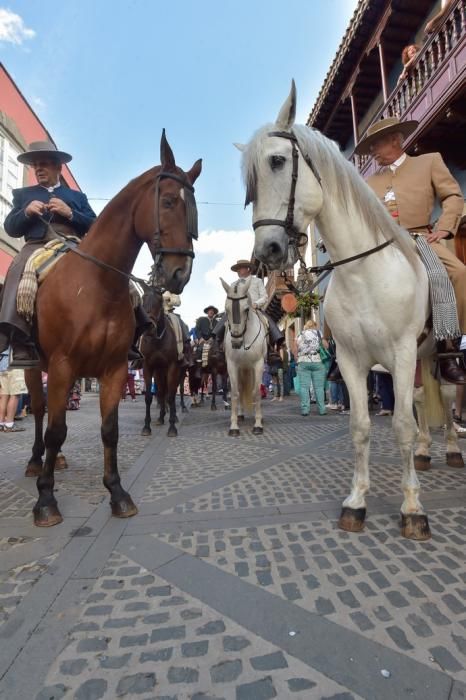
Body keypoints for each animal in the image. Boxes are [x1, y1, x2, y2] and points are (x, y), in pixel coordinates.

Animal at [23, 130, 201, 524]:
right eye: (168, 201)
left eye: (194, 208)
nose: (180, 274)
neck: (96, 284)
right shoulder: (62, 365)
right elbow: (57, 429)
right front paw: (46, 499)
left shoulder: (115, 369)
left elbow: (110, 429)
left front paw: (117, 492)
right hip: (31, 365)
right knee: (41, 411)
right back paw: (36, 460)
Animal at [221, 276, 266, 434]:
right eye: (226, 309)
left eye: (246, 309)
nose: (236, 342)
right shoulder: (232, 366)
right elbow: (235, 393)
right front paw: (234, 426)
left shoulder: (258, 364)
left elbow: (256, 392)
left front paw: (258, 424)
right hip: (241, 369)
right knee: (240, 389)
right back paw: (240, 415)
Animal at [238, 80, 464, 540]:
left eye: (277, 161)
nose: (267, 251)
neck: (365, 272)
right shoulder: (352, 360)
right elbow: (361, 427)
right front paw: (356, 502)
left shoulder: (400, 353)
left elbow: (400, 425)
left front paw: (412, 509)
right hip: (421, 357)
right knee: (423, 399)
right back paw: (426, 452)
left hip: (436, 351)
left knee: (447, 395)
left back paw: (450, 449)